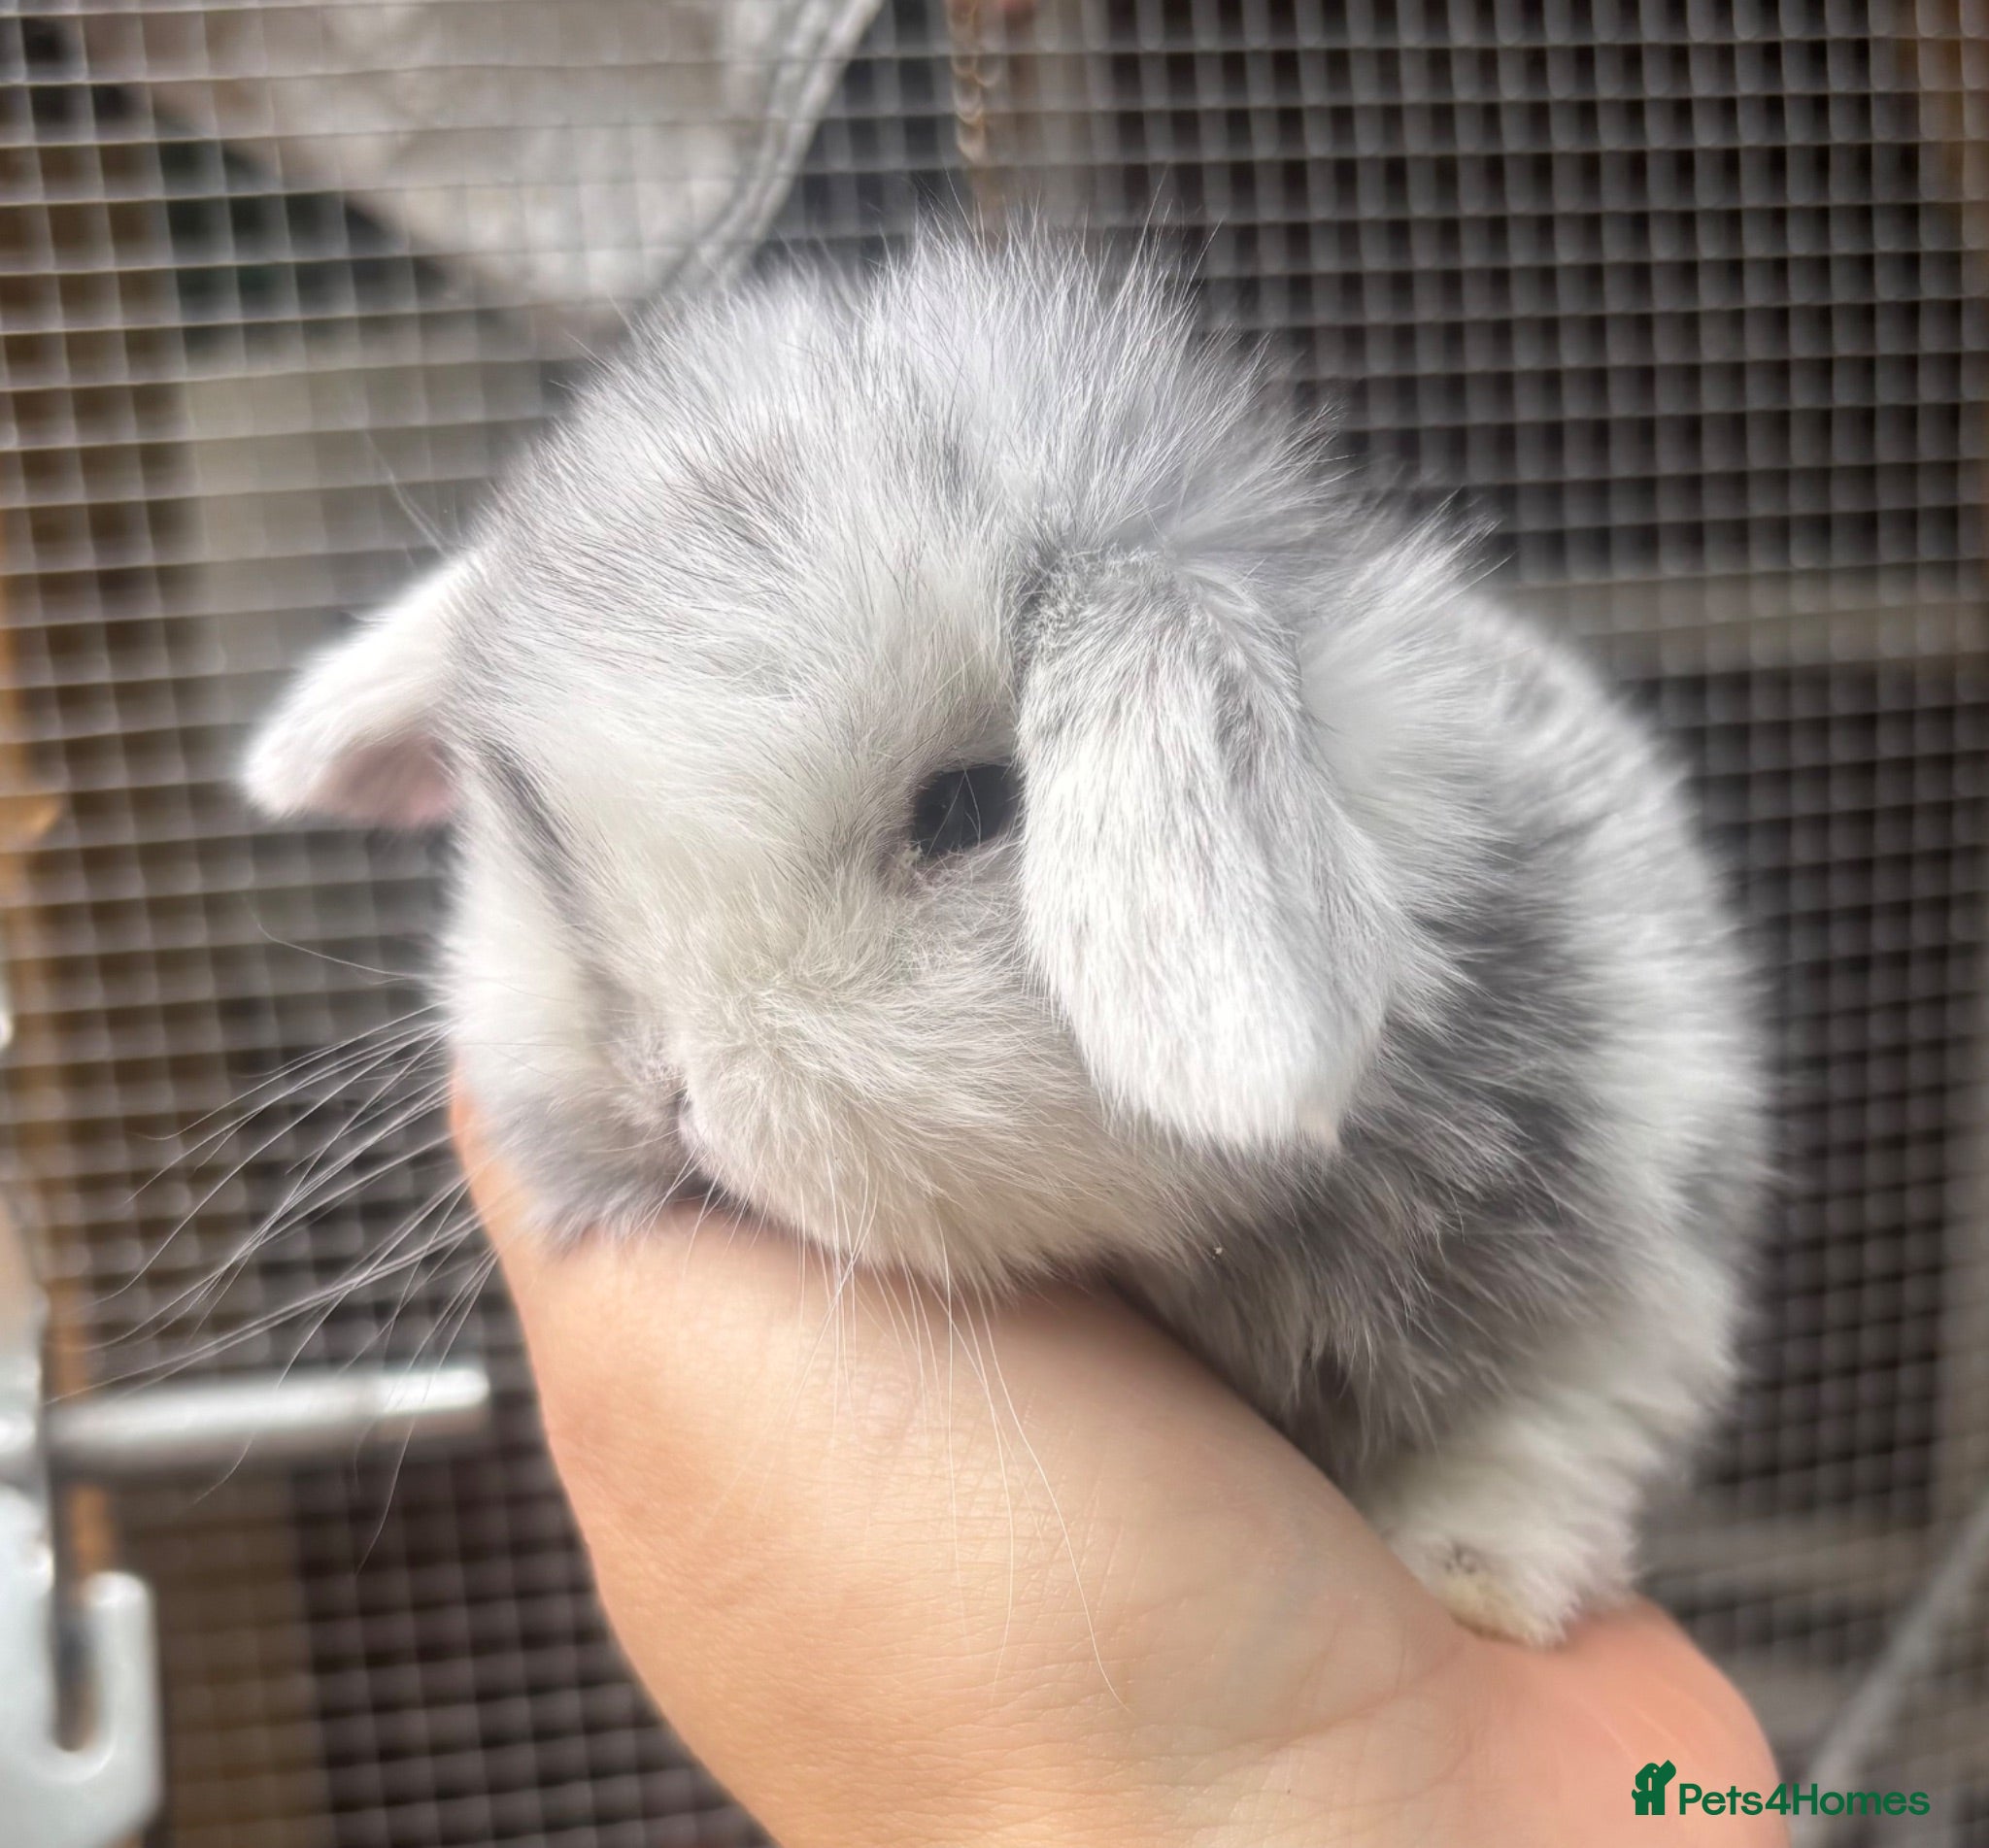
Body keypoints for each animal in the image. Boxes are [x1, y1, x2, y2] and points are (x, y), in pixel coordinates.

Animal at [242, 230, 1766, 1645]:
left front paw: (1469, 1577)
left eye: (972, 804)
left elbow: (1552, 1428)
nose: (663, 1088)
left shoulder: (1646, 1290)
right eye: (536, 824)